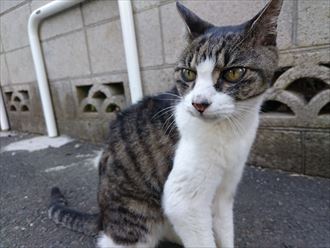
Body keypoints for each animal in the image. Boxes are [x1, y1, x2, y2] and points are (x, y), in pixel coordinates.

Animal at [49, 0, 284, 247]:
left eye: (234, 73)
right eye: (188, 73)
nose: (199, 103)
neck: (230, 129)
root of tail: (102, 216)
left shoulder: (224, 192)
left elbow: (224, 232)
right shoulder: (183, 201)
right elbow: (201, 237)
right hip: (137, 220)